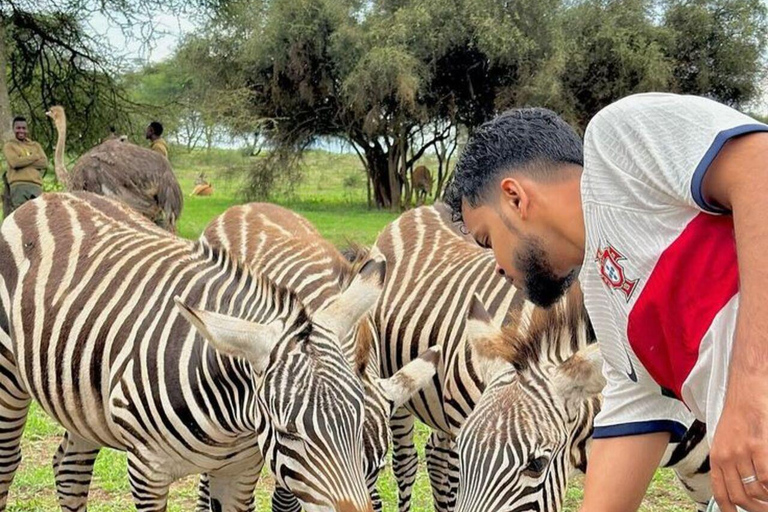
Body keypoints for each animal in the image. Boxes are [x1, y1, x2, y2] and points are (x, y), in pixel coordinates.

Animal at [0, 192, 393, 512]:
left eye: (357, 423)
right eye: (287, 434)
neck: (230, 420)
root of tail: (49, 197)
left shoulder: (240, 472)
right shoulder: (147, 473)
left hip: (80, 397)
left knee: (69, 469)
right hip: (8, 377)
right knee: (7, 461)